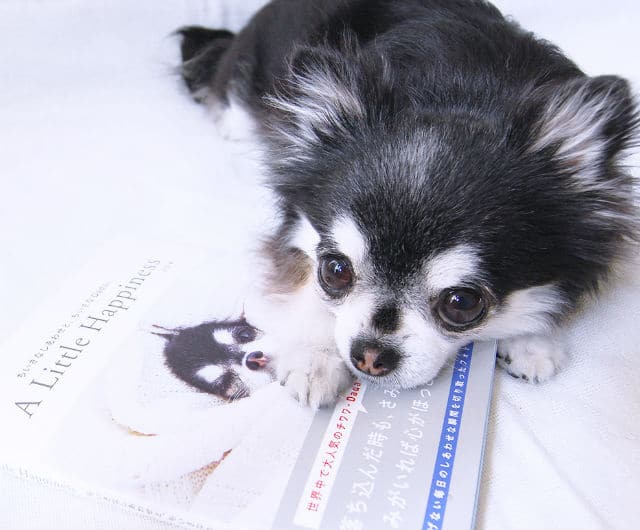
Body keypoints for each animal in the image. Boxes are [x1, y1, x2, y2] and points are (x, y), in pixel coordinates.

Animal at [176, 0, 640, 404]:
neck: (463, 91)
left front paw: (532, 338)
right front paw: (315, 357)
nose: (368, 356)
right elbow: (306, 287)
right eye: (336, 271)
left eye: (461, 304)